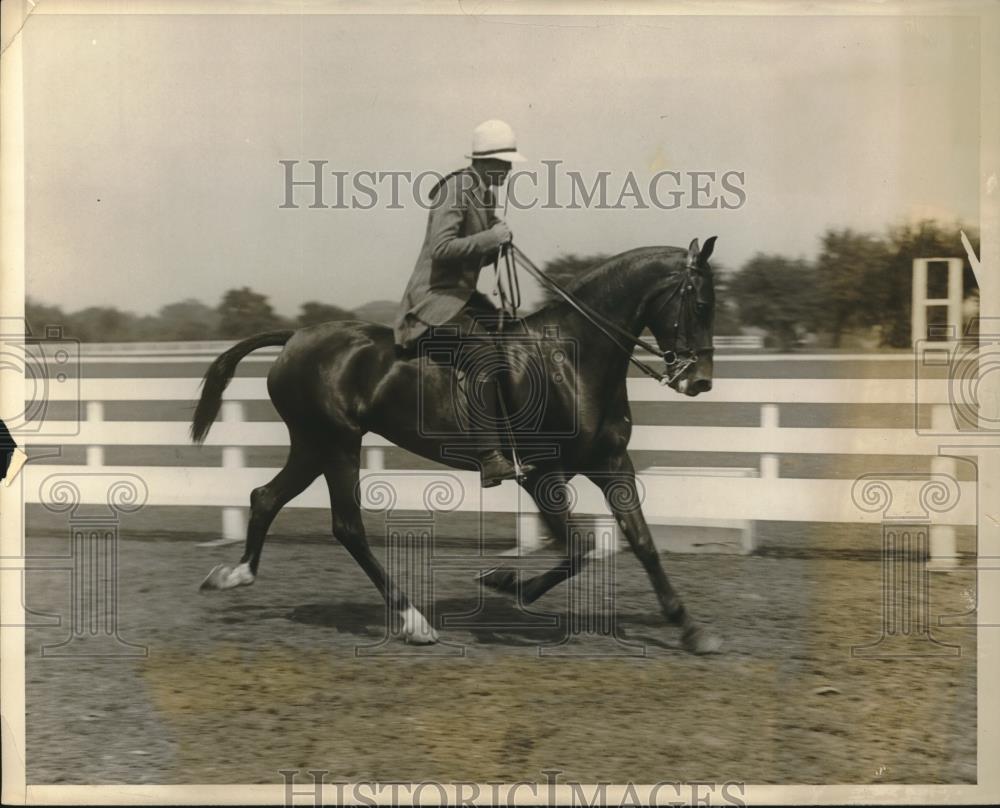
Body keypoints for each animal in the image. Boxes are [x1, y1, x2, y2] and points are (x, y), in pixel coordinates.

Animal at [191, 237, 724, 652]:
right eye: (701, 304)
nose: (700, 380)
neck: (570, 361)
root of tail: (296, 336)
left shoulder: (612, 463)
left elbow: (642, 543)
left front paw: (690, 628)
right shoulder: (541, 475)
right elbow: (578, 548)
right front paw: (507, 584)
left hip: (312, 445)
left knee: (266, 497)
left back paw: (235, 574)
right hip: (337, 445)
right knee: (348, 527)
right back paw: (413, 622)